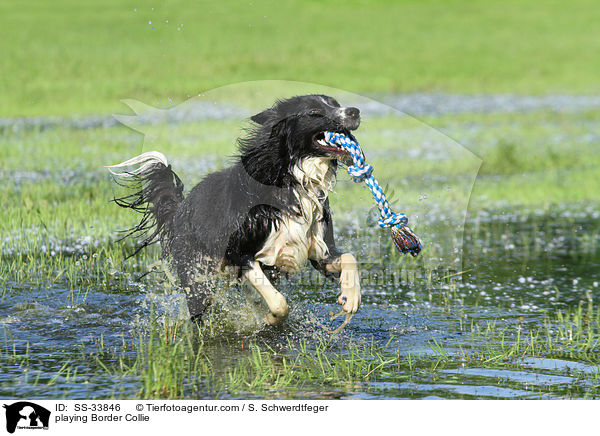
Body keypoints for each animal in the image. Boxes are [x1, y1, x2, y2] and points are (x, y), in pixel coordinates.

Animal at [108, 95, 360, 328]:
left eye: (336, 104)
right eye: (314, 111)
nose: (355, 111)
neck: (291, 179)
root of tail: (180, 208)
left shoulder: (319, 251)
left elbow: (349, 257)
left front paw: (351, 298)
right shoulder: (238, 252)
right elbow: (280, 303)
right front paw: (270, 318)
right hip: (198, 274)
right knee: (199, 309)